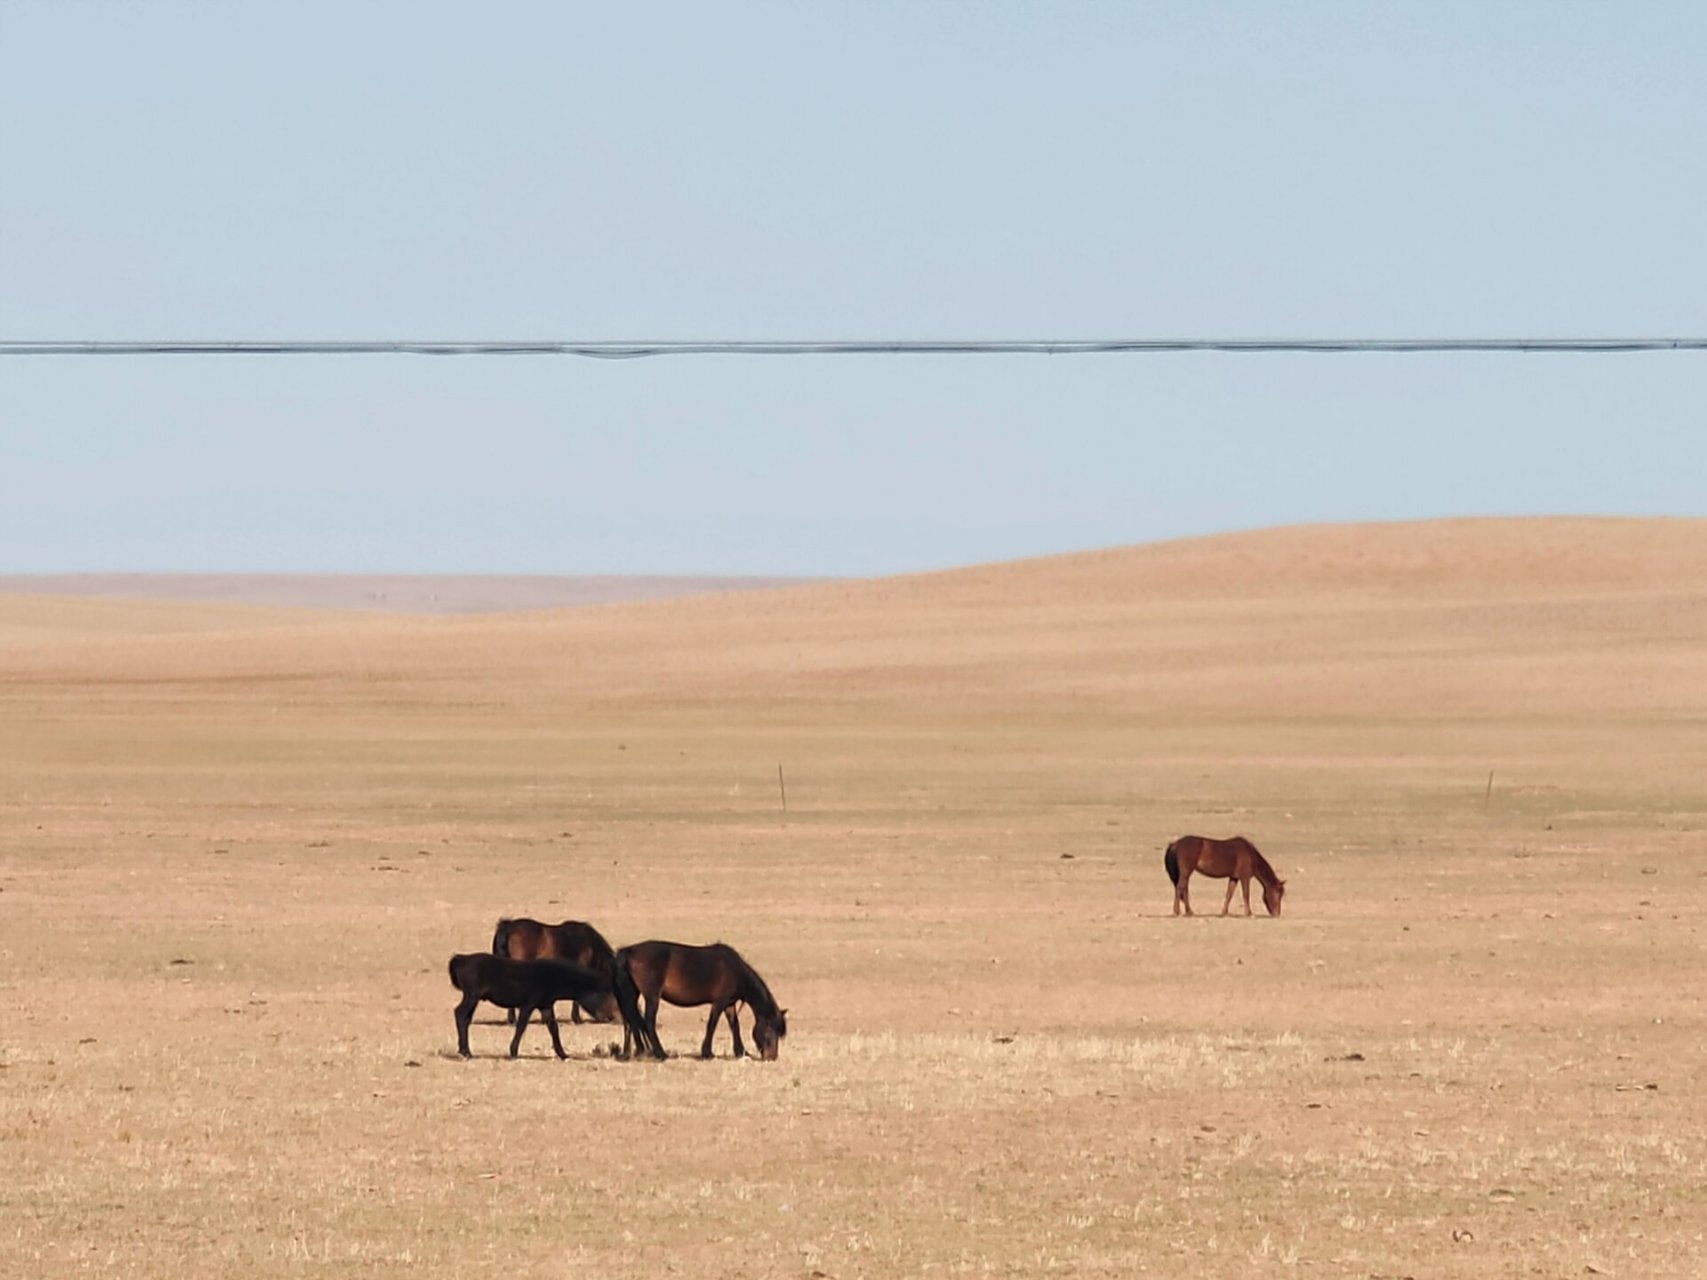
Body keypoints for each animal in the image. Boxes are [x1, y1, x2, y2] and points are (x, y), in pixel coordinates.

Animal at [450, 955, 617, 1064]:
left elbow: (553, 1028)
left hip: (473, 998)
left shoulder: (546, 1006)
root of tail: (461, 959)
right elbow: (521, 1027)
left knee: (465, 1019)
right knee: (460, 1014)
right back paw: (466, 1052)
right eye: (603, 995)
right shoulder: (528, 1005)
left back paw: (465, 1051)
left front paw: (563, 1054)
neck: (552, 976)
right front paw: (513, 1052)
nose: (610, 1016)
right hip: (472, 996)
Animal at [614, 942, 785, 1064]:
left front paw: (741, 1052)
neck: (736, 971)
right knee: (648, 1021)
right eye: (770, 1029)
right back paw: (660, 1053)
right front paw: (707, 1053)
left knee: (629, 1021)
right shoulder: (719, 1002)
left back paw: (632, 1053)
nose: (772, 1057)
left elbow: (734, 1026)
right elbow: (712, 1025)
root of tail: (630, 951)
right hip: (652, 996)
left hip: (632, 994)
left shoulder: (729, 1004)